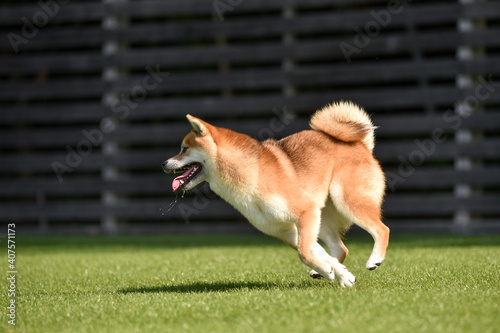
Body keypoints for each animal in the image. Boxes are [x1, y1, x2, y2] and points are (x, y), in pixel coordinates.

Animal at [162, 101, 388, 286]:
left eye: (184, 149)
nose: (164, 163)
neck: (250, 174)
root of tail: (361, 145)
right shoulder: (286, 229)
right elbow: (313, 253)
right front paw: (338, 273)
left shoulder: (304, 212)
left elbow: (304, 253)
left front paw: (332, 271)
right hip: (322, 218)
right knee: (340, 249)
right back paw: (323, 271)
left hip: (347, 202)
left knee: (381, 229)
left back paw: (374, 259)